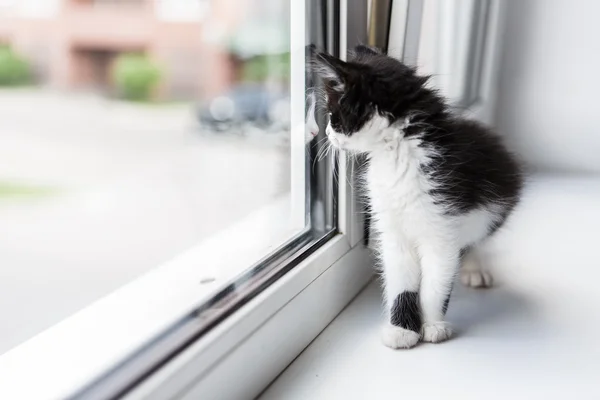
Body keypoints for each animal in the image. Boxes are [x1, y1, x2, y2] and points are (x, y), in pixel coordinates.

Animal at [312, 45, 524, 348]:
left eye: (332, 115)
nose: (325, 132)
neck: (398, 150)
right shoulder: (392, 227)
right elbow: (402, 280)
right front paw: (401, 329)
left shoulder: (443, 223)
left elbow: (436, 280)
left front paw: (433, 325)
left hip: (495, 206)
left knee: (476, 240)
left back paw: (474, 268)